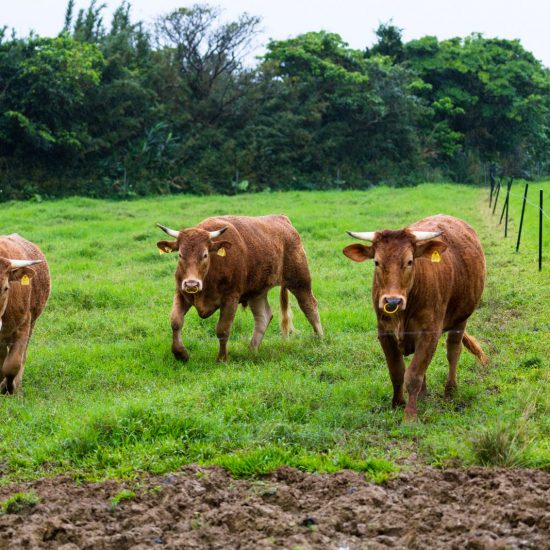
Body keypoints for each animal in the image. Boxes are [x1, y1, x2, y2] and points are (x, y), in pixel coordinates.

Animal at [156, 215, 324, 362]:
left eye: (204, 255)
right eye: (180, 254)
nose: (192, 284)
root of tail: (282, 219)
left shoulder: (231, 298)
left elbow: (223, 329)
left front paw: (222, 359)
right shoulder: (181, 293)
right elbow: (176, 321)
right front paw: (180, 354)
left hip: (300, 280)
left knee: (309, 306)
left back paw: (320, 338)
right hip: (257, 291)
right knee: (263, 317)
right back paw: (252, 350)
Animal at [342, 217, 490, 422]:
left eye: (410, 261)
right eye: (377, 262)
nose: (392, 301)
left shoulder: (430, 333)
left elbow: (413, 376)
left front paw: (410, 416)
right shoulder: (385, 333)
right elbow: (397, 371)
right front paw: (397, 404)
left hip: (461, 318)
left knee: (453, 351)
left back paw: (450, 392)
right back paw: (423, 395)